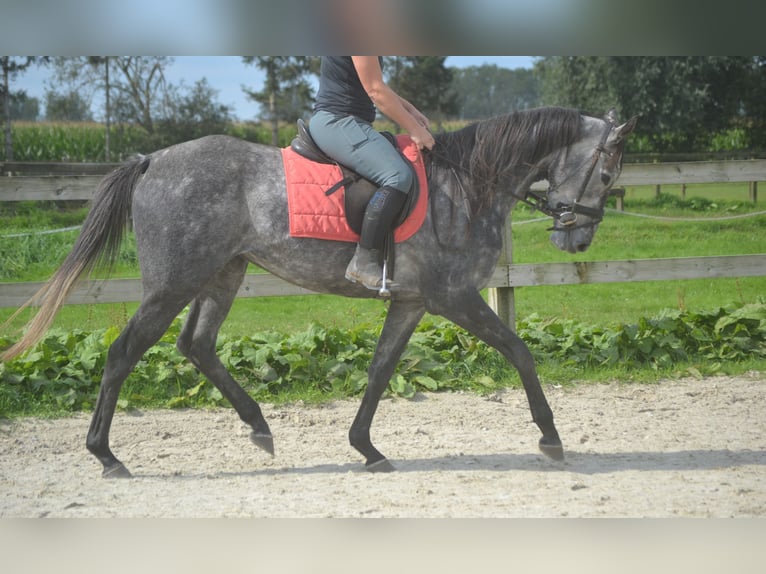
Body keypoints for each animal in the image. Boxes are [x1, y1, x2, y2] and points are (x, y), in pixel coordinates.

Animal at [1, 107, 636, 476]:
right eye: (607, 175)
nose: (577, 237)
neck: (466, 187)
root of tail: (151, 159)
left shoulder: (411, 302)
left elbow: (380, 369)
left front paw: (366, 448)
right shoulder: (454, 297)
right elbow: (520, 351)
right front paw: (551, 437)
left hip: (223, 274)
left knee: (196, 345)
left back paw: (259, 428)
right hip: (173, 284)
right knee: (123, 353)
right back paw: (106, 456)